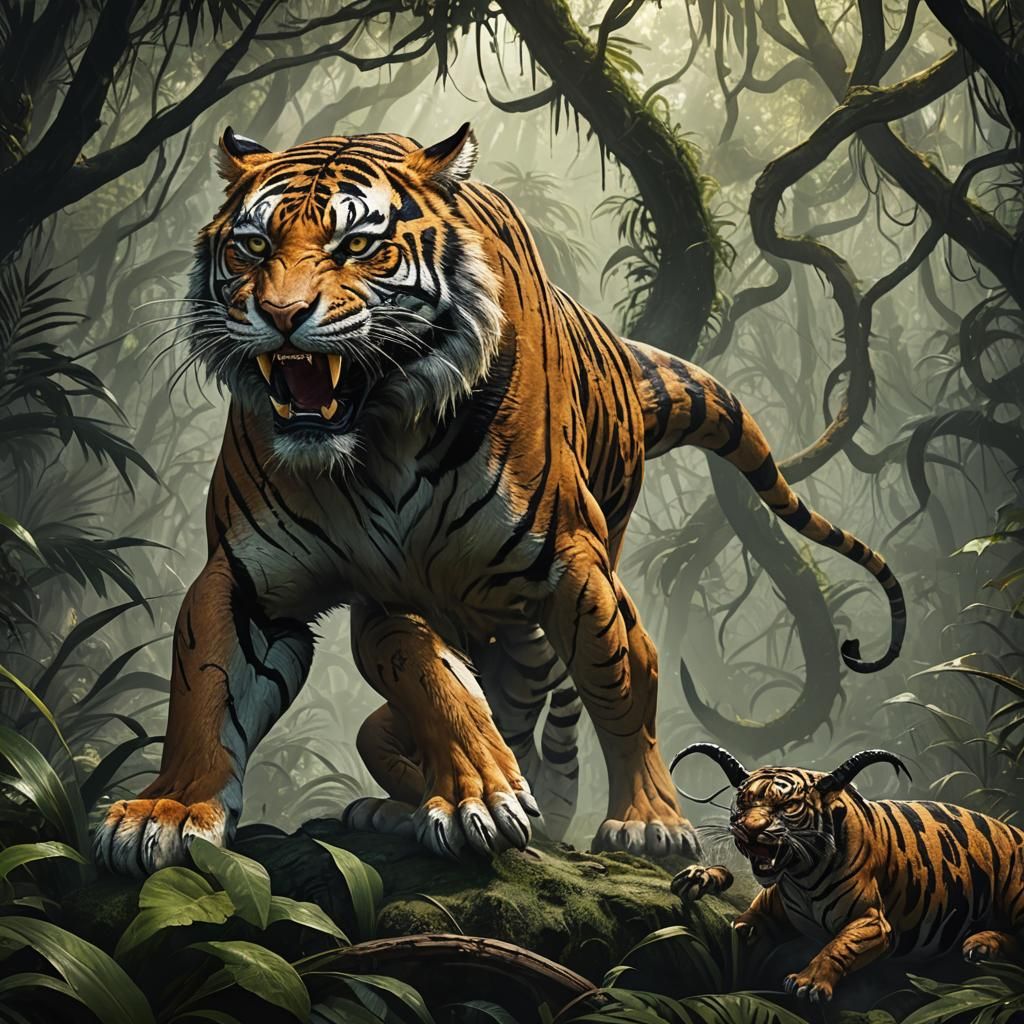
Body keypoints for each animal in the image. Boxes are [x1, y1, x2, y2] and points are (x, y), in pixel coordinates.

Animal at [94, 123, 906, 876]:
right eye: (253, 246)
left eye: (358, 245)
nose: (281, 314)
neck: (373, 443)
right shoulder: (266, 582)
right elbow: (217, 687)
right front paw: (168, 812)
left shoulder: (572, 567)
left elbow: (624, 685)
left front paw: (648, 823)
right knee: (415, 721)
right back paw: (403, 806)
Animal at [669, 744, 1024, 1002]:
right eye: (744, 800)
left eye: (788, 806)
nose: (749, 830)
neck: (800, 877)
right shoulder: (764, 914)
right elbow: (742, 919)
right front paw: (698, 877)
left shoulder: (873, 922)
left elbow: (839, 946)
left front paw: (809, 982)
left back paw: (980, 944)